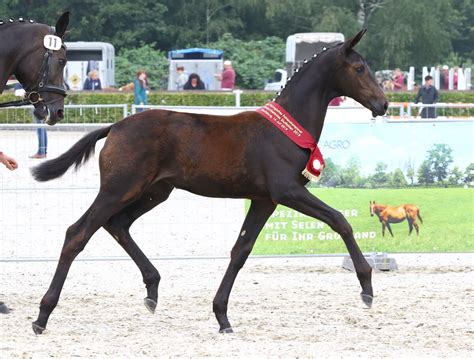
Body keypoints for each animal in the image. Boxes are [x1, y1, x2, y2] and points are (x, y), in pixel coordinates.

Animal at [30, 29, 388, 336]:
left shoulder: (265, 200)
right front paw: (367, 285)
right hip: (118, 189)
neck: (286, 129)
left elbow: (241, 250)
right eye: (359, 68)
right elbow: (340, 221)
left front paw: (222, 315)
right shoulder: (287, 191)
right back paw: (42, 315)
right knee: (78, 233)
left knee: (118, 225)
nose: (383, 104)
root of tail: (115, 127)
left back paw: (152, 288)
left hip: (154, 192)